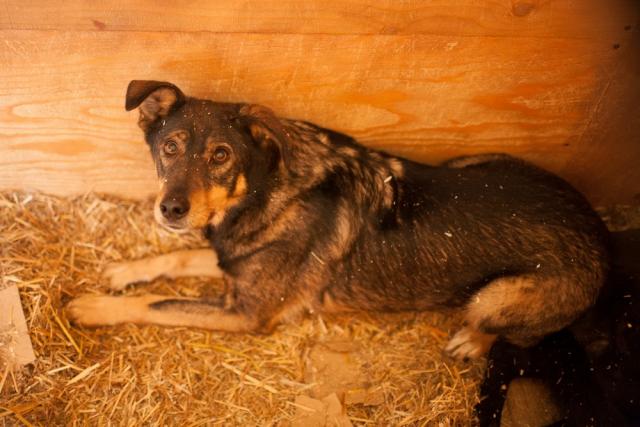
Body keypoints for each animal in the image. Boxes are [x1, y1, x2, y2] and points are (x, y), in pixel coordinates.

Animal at [66, 80, 608, 362]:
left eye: (221, 155)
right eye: (170, 147)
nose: (171, 208)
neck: (264, 194)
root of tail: (602, 235)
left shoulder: (245, 314)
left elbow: (154, 303)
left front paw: (94, 306)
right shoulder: (231, 259)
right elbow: (177, 256)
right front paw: (121, 272)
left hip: (495, 295)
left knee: (504, 327)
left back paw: (470, 340)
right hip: (472, 160)